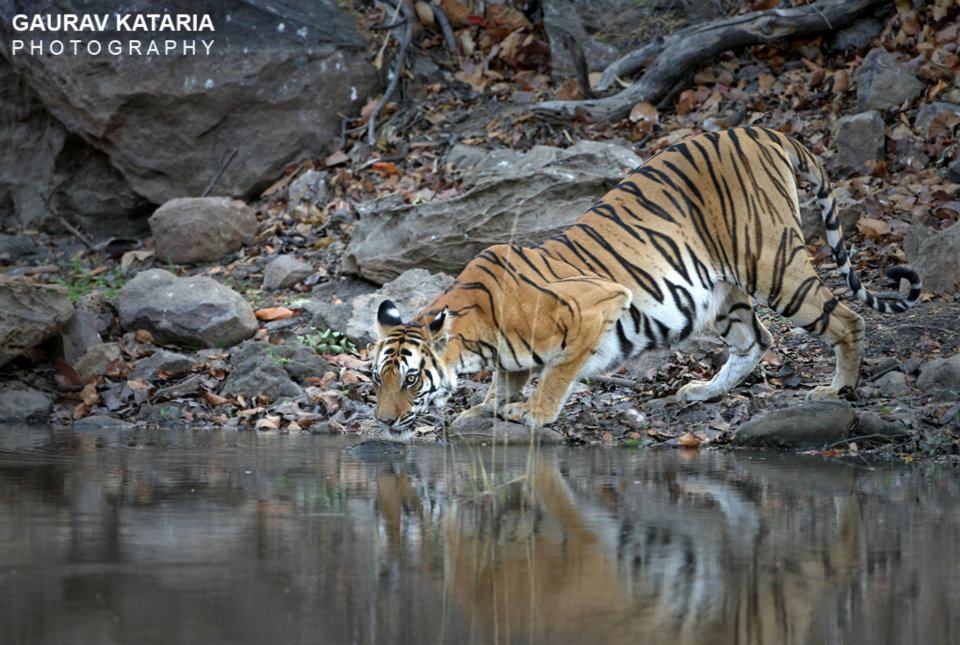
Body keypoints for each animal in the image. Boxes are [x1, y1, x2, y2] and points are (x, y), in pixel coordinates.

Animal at [370, 126, 924, 432]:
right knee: (757, 340)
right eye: (379, 378)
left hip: (773, 263)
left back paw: (837, 391)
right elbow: (507, 380)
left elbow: (556, 374)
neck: (477, 336)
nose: (385, 421)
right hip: (723, 290)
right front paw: (485, 410)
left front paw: (532, 414)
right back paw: (702, 392)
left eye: (412, 378)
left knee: (846, 320)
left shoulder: (595, 305)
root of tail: (764, 132)